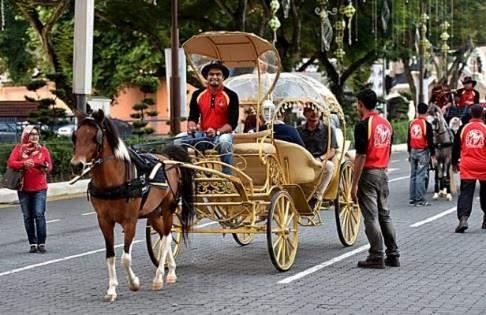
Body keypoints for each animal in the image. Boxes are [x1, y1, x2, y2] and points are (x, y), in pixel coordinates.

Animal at [70, 110, 196, 302]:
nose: (77, 165)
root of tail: (167, 159)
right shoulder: (104, 221)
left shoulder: (130, 221)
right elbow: (110, 256)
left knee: (167, 237)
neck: (113, 183)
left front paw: (134, 283)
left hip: (168, 209)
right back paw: (171, 270)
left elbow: (125, 258)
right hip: (153, 212)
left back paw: (160, 276)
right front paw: (111, 290)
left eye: (95, 137)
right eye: (75, 136)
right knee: (162, 235)